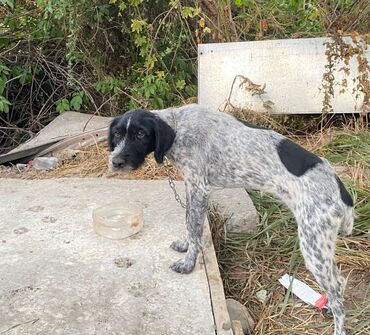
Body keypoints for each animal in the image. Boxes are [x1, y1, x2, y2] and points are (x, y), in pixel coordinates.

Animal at [108, 103, 354, 334]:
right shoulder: (191, 188)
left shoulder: (199, 188)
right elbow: (189, 223)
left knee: (338, 294)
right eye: (117, 134)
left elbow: (195, 229)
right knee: (339, 285)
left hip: (313, 246)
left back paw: (338, 327)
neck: (179, 128)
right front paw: (185, 245)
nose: (116, 161)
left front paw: (188, 263)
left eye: (141, 134)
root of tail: (342, 191)